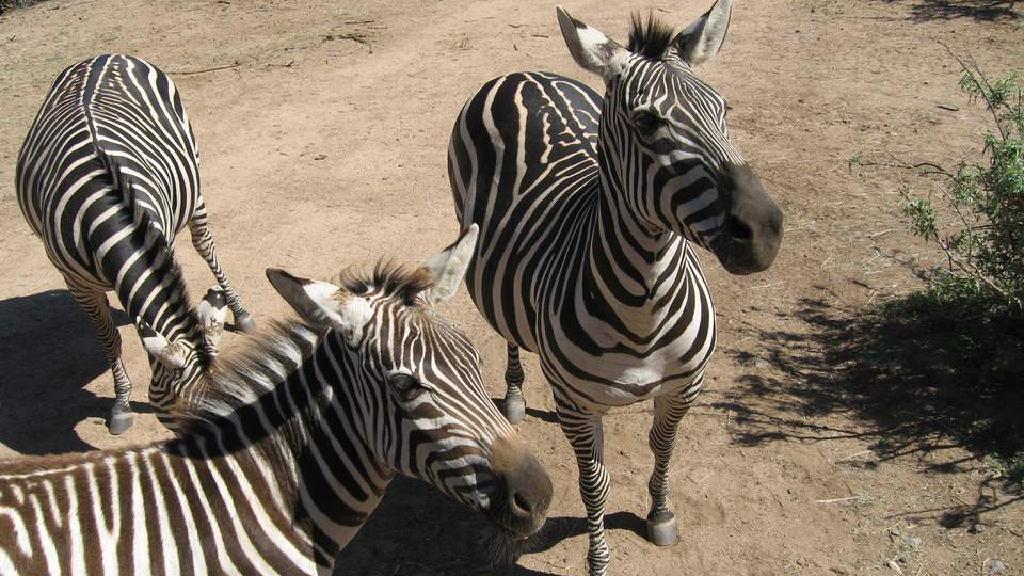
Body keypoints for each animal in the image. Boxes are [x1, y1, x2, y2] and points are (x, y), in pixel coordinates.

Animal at [16, 53, 256, 432]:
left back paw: (240, 311)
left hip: (195, 186)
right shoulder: (76, 283)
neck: (103, 214)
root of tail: (103, 55)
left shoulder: (160, 242)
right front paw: (121, 404)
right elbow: (109, 337)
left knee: (205, 246)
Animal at [448, 2, 782, 569]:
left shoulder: (684, 387)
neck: (644, 308)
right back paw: (514, 394)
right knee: (509, 328)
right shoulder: (578, 407)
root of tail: (523, 74)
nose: (763, 231)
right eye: (648, 121)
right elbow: (594, 485)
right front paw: (598, 560)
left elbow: (663, 449)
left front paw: (660, 516)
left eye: (724, 109)